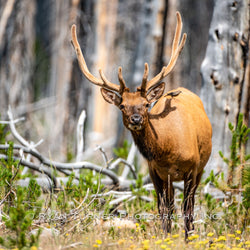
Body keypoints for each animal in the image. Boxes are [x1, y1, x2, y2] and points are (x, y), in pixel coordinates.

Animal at [70, 12, 211, 240]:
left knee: (188, 204)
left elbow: (187, 209)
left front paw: (188, 238)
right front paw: (165, 237)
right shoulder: (155, 171)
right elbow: (164, 208)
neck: (168, 149)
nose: (135, 119)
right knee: (170, 204)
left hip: (201, 168)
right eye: (122, 106)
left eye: (145, 104)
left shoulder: (192, 167)